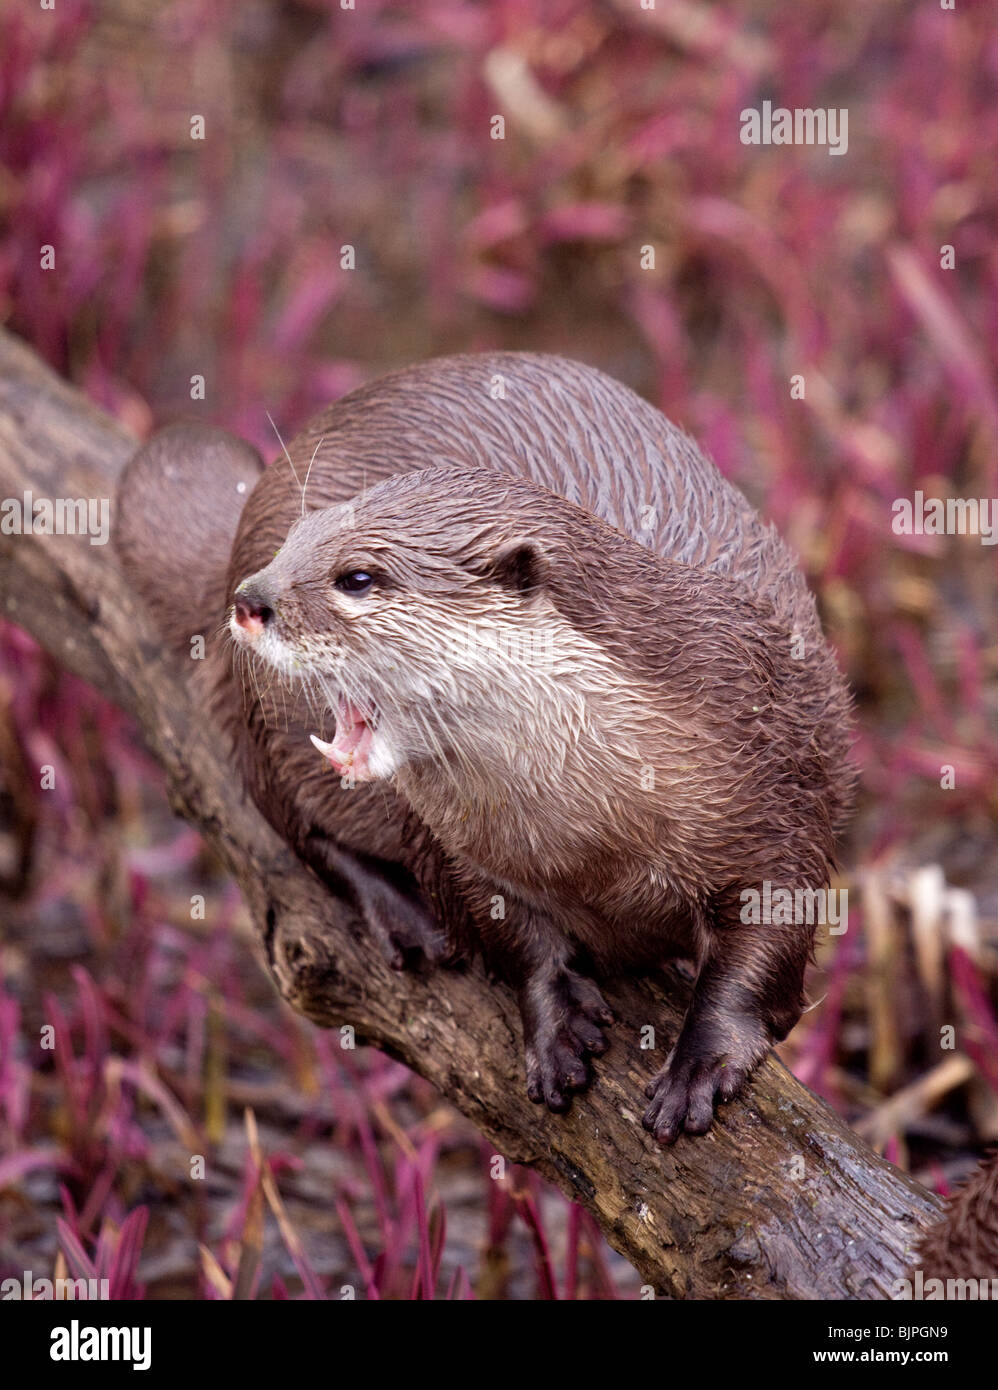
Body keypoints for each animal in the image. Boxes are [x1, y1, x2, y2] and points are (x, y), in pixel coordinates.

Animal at [116, 352, 854, 1141]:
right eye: (293, 544)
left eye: (358, 578)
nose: (253, 600)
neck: (594, 837)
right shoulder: (457, 849)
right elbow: (504, 933)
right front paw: (555, 1026)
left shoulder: (781, 782)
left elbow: (767, 944)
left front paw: (699, 1064)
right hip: (254, 724)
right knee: (294, 825)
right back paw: (403, 917)